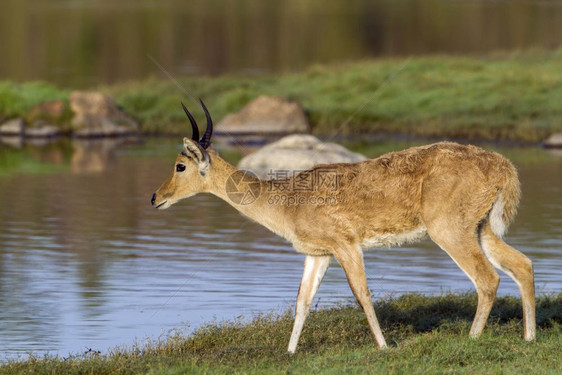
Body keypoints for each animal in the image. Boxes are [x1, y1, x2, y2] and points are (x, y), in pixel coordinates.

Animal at [152, 100, 532, 352]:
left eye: (180, 165)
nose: (155, 197)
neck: (287, 201)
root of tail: (502, 165)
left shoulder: (346, 245)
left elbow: (361, 294)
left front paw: (384, 347)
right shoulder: (318, 254)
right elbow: (302, 300)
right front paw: (289, 353)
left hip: (450, 232)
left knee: (487, 278)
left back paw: (472, 338)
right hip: (481, 229)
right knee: (522, 265)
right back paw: (529, 337)